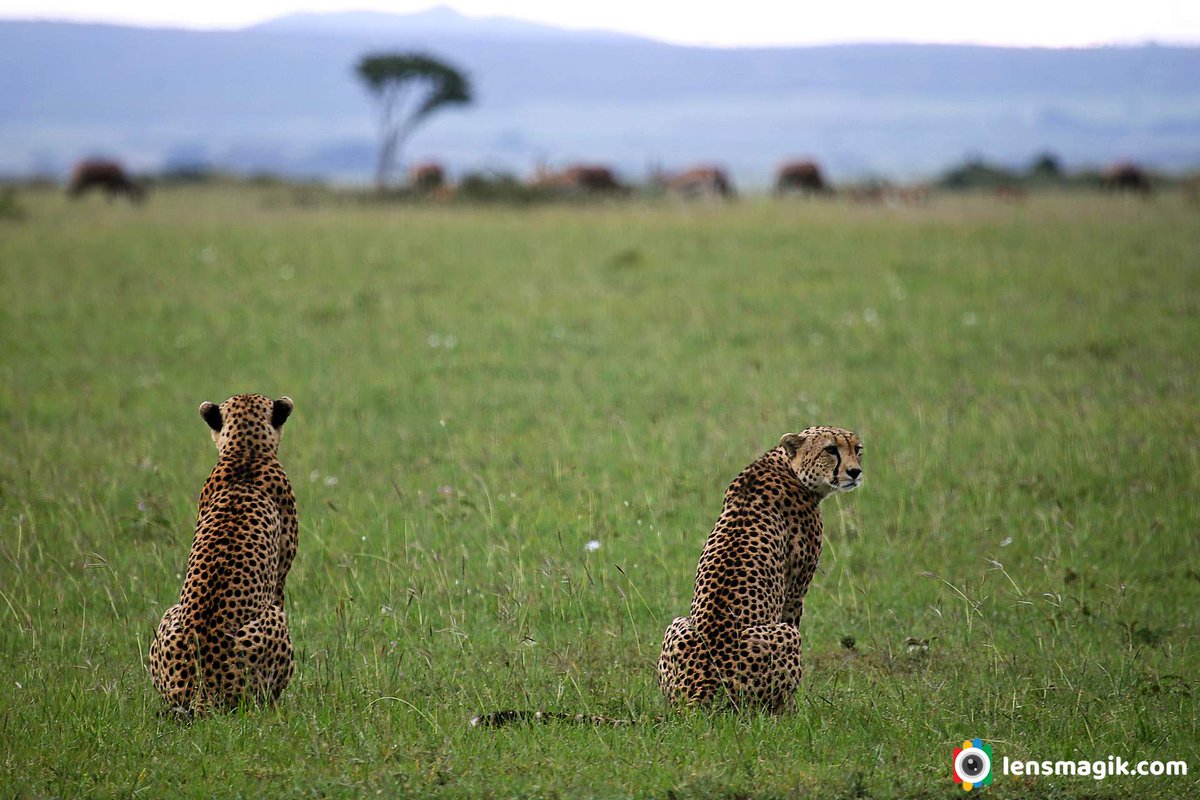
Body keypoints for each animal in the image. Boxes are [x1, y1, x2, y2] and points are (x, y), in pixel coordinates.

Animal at [657, 429, 864, 710]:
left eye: (858, 449)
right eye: (831, 449)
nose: (855, 472)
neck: (787, 466)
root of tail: (702, 689)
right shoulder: (795, 591)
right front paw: (796, 710)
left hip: (677, 624)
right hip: (785, 637)